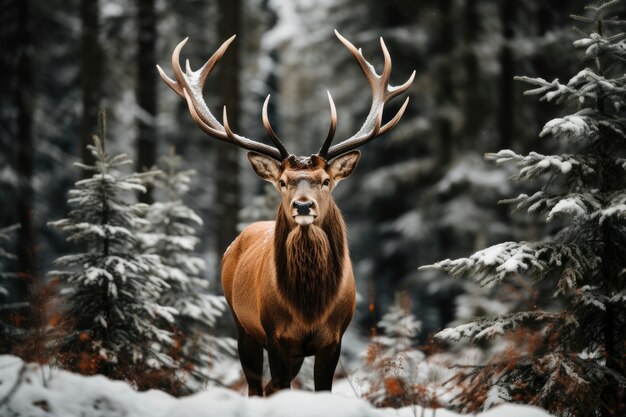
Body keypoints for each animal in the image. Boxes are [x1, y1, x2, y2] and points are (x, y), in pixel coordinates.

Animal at [156, 30, 412, 394]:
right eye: (282, 181)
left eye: (325, 180)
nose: (303, 205)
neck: (309, 309)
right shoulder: (275, 335)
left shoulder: (334, 339)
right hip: (242, 324)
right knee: (257, 387)